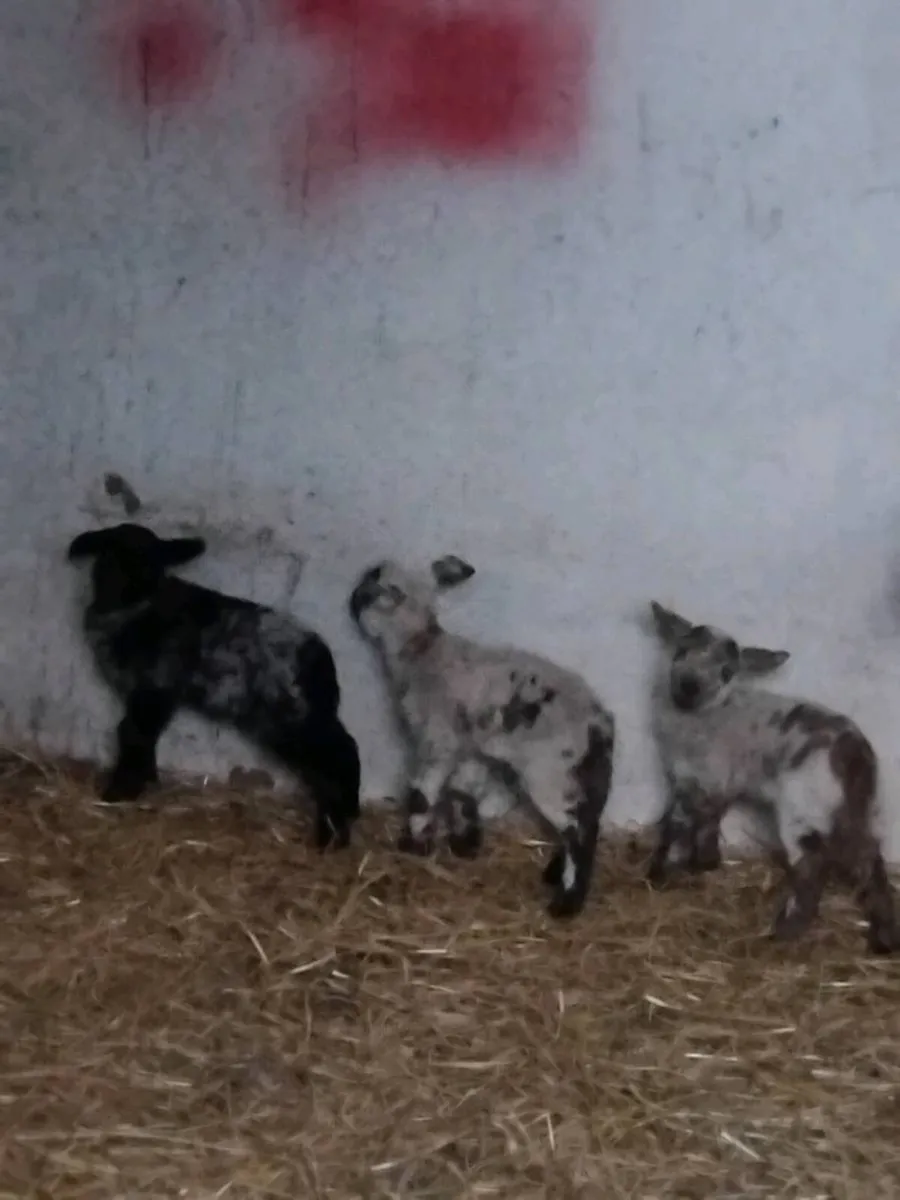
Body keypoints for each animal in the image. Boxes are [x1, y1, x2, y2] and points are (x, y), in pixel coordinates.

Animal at [66, 522, 361, 850]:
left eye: (153, 561)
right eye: (110, 551)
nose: (129, 586)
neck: (131, 609)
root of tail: (320, 658)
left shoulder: (154, 686)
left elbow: (132, 733)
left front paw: (121, 791)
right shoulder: (155, 694)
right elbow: (142, 736)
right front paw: (145, 780)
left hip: (292, 713)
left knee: (340, 753)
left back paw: (334, 831)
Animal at [348, 555, 616, 918]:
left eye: (374, 581)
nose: (352, 599)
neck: (421, 650)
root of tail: (601, 723)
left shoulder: (438, 738)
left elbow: (422, 793)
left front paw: (414, 843)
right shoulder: (471, 746)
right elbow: (462, 792)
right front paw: (464, 843)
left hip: (552, 773)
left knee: (579, 833)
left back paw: (566, 903)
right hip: (582, 776)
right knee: (587, 819)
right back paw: (553, 874)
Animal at [646, 600, 898, 953]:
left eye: (726, 673)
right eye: (681, 651)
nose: (689, 687)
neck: (708, 714)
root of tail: (852, 754)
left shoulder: (697, 778)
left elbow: (678, 826)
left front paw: (662, 873)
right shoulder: (721, 781)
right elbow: (709, 821)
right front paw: (706, 863)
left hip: (804, 804)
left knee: (811, 865)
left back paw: (786, 931)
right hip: (865, 809)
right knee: (871, 861)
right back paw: (884, 937)